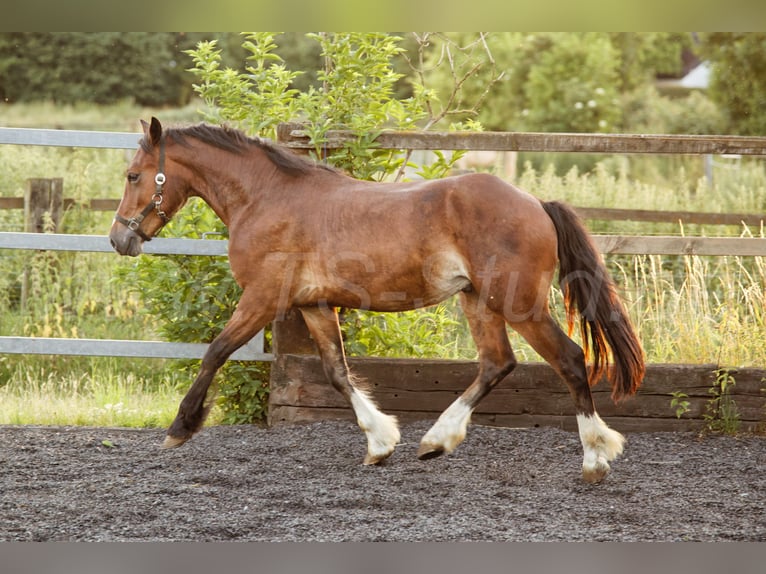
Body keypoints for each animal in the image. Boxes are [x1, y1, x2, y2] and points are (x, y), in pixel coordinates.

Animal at [109, 117, 645, 483]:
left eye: (134, 175)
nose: (120, 239)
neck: (265, 199)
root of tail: (535, 203)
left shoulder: (262, 298)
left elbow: (215, 352)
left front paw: (181, 426)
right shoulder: (313, 306)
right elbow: (337, 373)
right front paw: (381, 443)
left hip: (518, 304)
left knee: (570, 359)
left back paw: (595, 459)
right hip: (477, 301)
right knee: (497, 363)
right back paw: (435, 442)